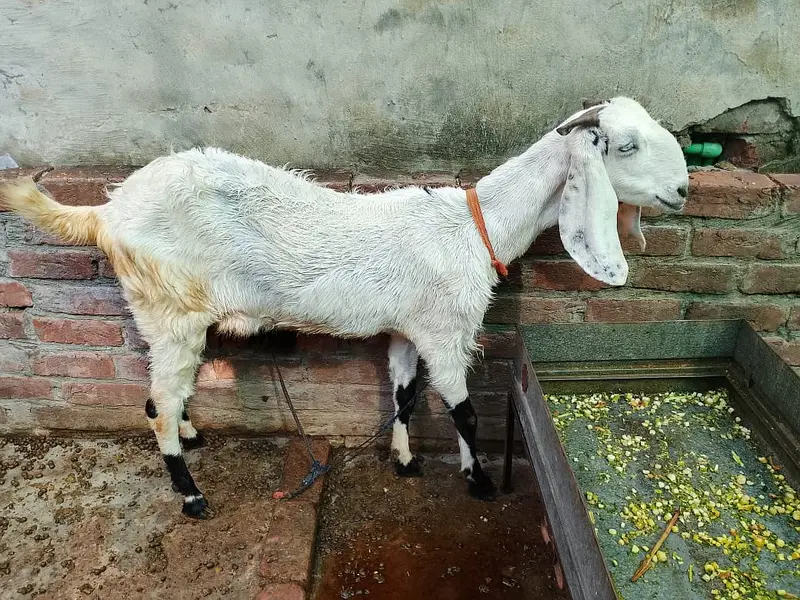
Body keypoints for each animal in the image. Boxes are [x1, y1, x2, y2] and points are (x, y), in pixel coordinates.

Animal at [1, 97, 688, 519]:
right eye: (625, 146)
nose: (683, 190)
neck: (477, 226)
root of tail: (106, 211)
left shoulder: (411, 329)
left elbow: (404, 395)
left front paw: (406, 461)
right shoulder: (446, 331)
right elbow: (465, 412)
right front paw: (481, 481)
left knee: (166, 397)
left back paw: (193, 438)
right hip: (169, 309)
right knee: (157, 405)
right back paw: (191, 496)